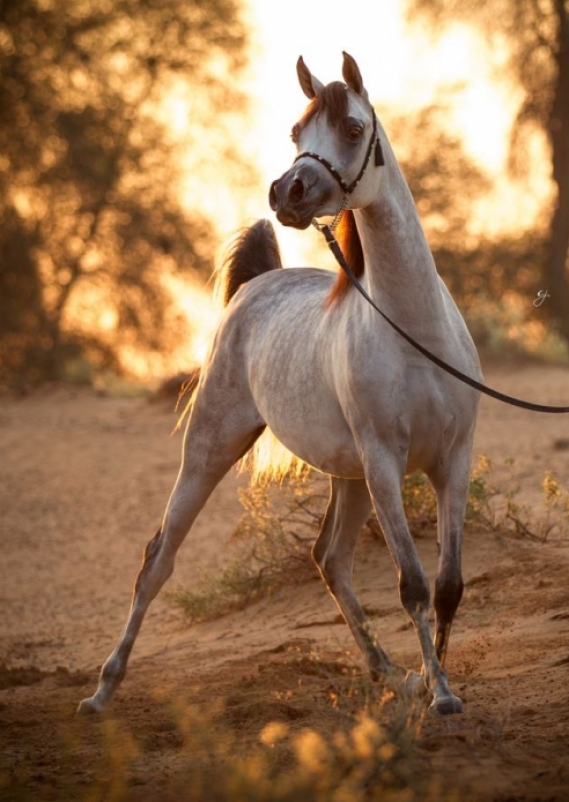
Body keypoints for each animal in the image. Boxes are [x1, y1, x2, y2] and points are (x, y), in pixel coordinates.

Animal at [79, 51, 480, 712]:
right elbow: (415, 585)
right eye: (297, 132)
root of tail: (254, 286)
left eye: (352, 128)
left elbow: (448, 586)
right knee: (158, 559)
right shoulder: (386, 463)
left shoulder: (453, 461)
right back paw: (103, 690)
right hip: (213, 449)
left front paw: (433, 684)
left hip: (349, 477)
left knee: (330, 560)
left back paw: (392, 674)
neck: (413, 331)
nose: (286, 192)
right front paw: (440, 693)